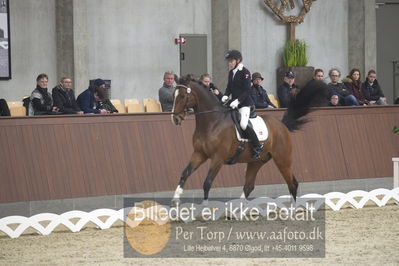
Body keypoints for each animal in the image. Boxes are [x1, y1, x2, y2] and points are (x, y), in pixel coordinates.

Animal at [172, 76, 328, 205]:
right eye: (174, 96)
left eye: (182, 96)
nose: (175, 119)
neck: (212, 122)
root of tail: (282, 125)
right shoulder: (199, 154)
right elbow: (184, 174)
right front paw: (175, 199)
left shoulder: (218, 158)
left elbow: (207, 182)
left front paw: (205, 208)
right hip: (256, 161)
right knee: (248, 186)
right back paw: (236, 212)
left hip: (283, 159)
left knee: (292, 183)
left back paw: (292, 212)